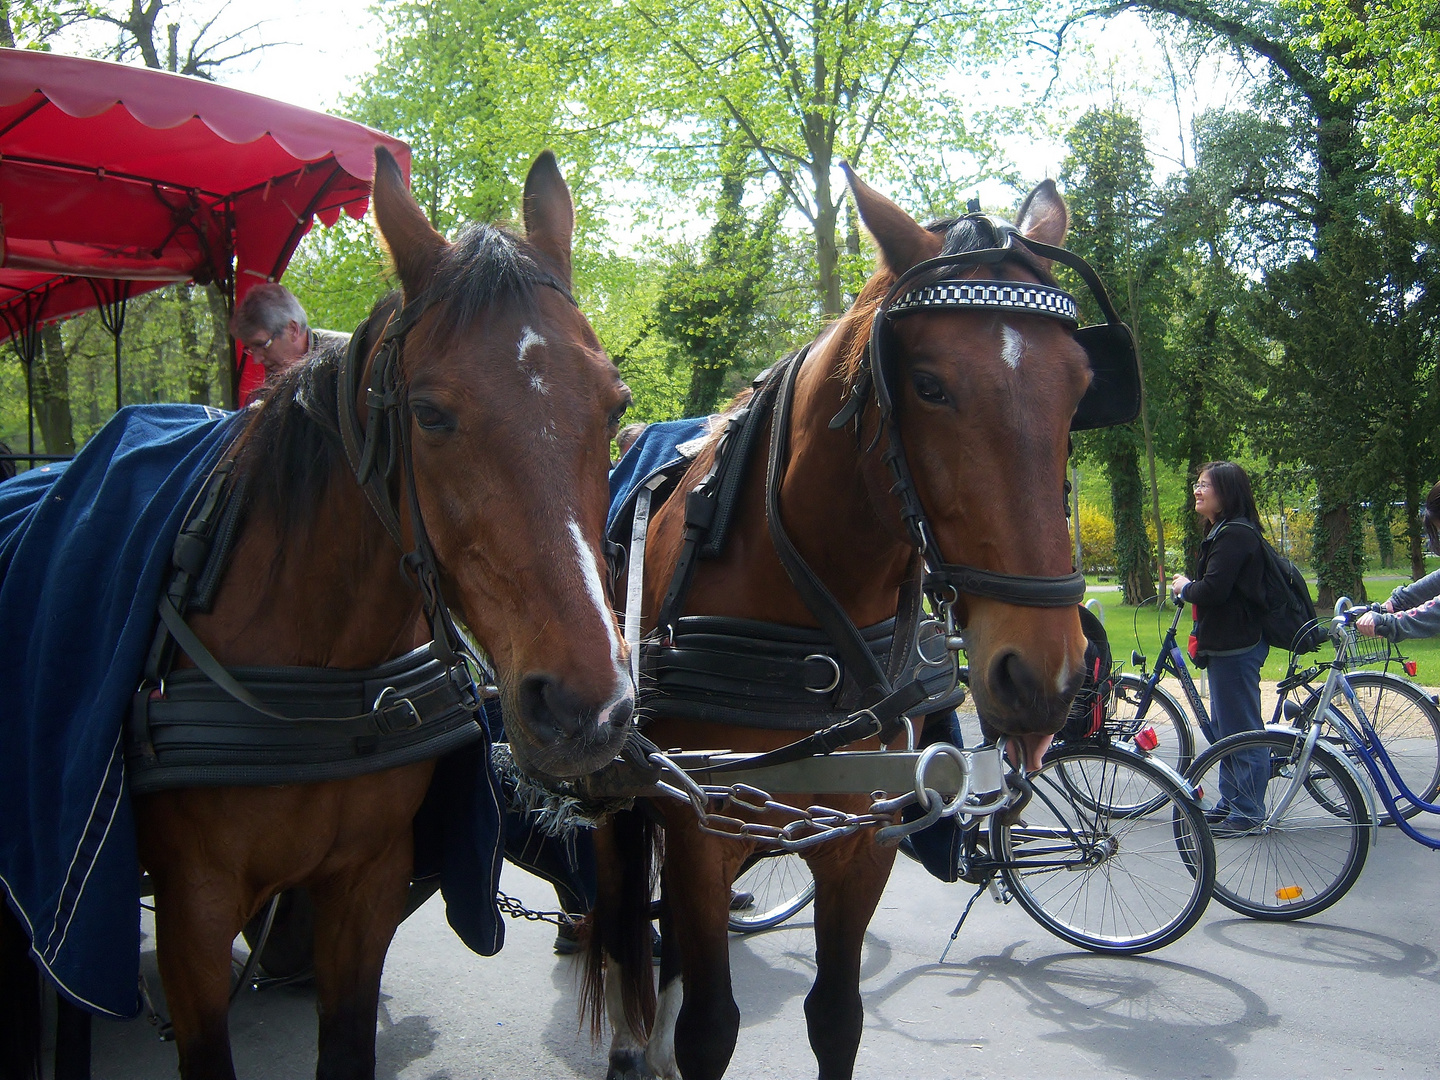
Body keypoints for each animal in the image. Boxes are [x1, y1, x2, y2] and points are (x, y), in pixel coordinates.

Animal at [5, 150, 633, 1080]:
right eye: (429, 413)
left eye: (615, 405)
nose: (588, 708)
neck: (322, 675)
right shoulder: (193, 916)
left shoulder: (363, 890)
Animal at [590, 171, 1094, 1080]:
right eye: (928, 385)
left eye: (1078, 387)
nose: (1046, 675)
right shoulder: (699, 829)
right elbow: (709, 1029)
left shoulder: (862, 840)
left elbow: (836, 1019)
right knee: (617, 923)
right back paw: (627, 1040)